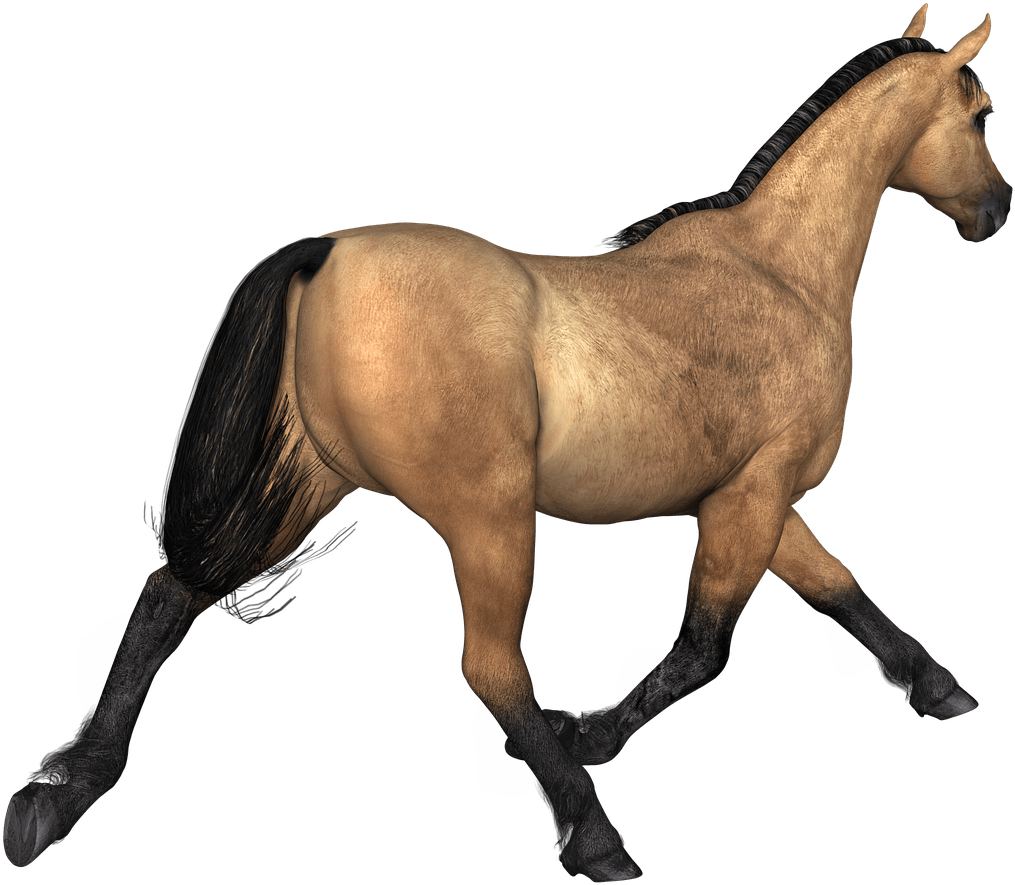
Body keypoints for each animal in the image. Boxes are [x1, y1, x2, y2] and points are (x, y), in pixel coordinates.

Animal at [4, 4, 1008, 879]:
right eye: (983, 113)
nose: (998, 210)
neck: (775, 271)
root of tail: (327, 250)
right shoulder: (753, 495)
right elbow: (705, 647)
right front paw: (587, 735)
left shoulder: (746, 496)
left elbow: (839, 589)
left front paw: (939, 689)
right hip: (484, 516)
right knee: (490, 668)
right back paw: (595, 840)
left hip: (308, 478)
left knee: (171, 594)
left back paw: (54, 798)